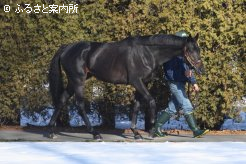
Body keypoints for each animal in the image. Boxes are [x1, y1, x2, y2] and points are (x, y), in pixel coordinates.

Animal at [48, 33, 204, 140]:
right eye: (190, 50)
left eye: (199, 49)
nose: (201, 69)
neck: (147, 53)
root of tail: (67, 47)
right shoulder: (137, 81)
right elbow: (151, 101)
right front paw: (152, 130)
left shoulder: (142, 83)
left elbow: (136, 106)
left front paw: (136, 133)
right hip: (78, 80)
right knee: (79, 104)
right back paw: (95, 133)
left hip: (73, 81)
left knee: (62, 100)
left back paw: (51, 131)